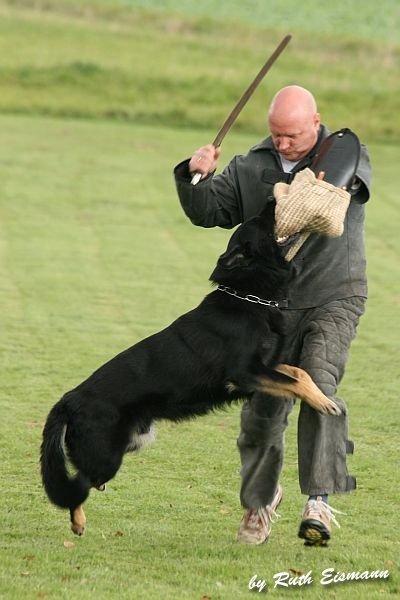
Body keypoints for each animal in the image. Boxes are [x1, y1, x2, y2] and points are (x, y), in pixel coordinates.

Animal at [41, 202, 340, 535]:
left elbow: (301, 374)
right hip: (106, 456)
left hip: (127, 445)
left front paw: (322, 398)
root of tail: (69, 399)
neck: (247, 295)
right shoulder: (245, 374)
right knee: (78, 485)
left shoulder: (266, 368)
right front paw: (324, 403)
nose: (271, 200)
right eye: (260, 221)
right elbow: (295, 381)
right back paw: (78, 522)